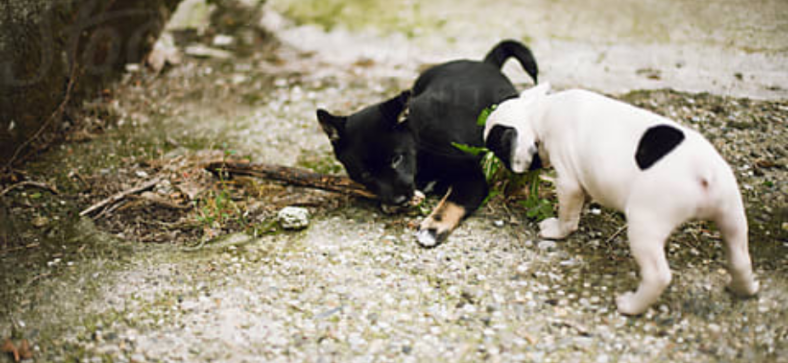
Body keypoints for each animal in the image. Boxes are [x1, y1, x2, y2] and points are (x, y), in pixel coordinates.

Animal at [318, 41, 540, 249]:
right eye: (365, 174)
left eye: (396, 159)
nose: (399, 200)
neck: (419, 148)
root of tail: (487, 64)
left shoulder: (472, 176)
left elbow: (452, 201)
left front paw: (433, 228)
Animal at [484, 82, 760, 316]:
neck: (539, 111)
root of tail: (704, 172)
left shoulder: (568, 182)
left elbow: (568, 214)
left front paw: (556, 230)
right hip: (731, 213)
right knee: (740, 258)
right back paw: (744, 288)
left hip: (645, 223)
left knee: (658, 275)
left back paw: (630, 306)